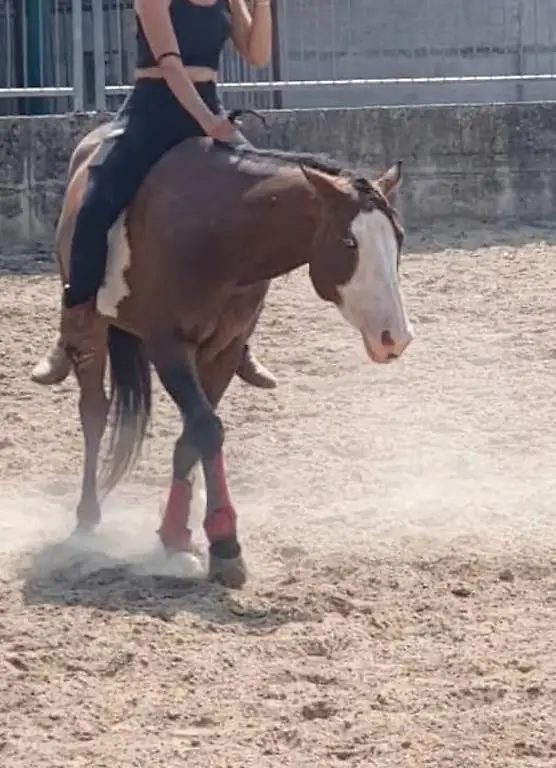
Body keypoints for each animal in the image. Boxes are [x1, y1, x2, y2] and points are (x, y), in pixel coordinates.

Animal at [52, 118, 414, 589]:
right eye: (349, 242)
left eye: (399, 238)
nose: (395, 336)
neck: (217, 236)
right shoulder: (168, 346)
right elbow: (207, 429)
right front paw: (225, 544)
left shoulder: (223, 348)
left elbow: (193, 435)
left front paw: (177, 536)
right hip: (91, 329)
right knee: (94, 411)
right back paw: (86, 516)